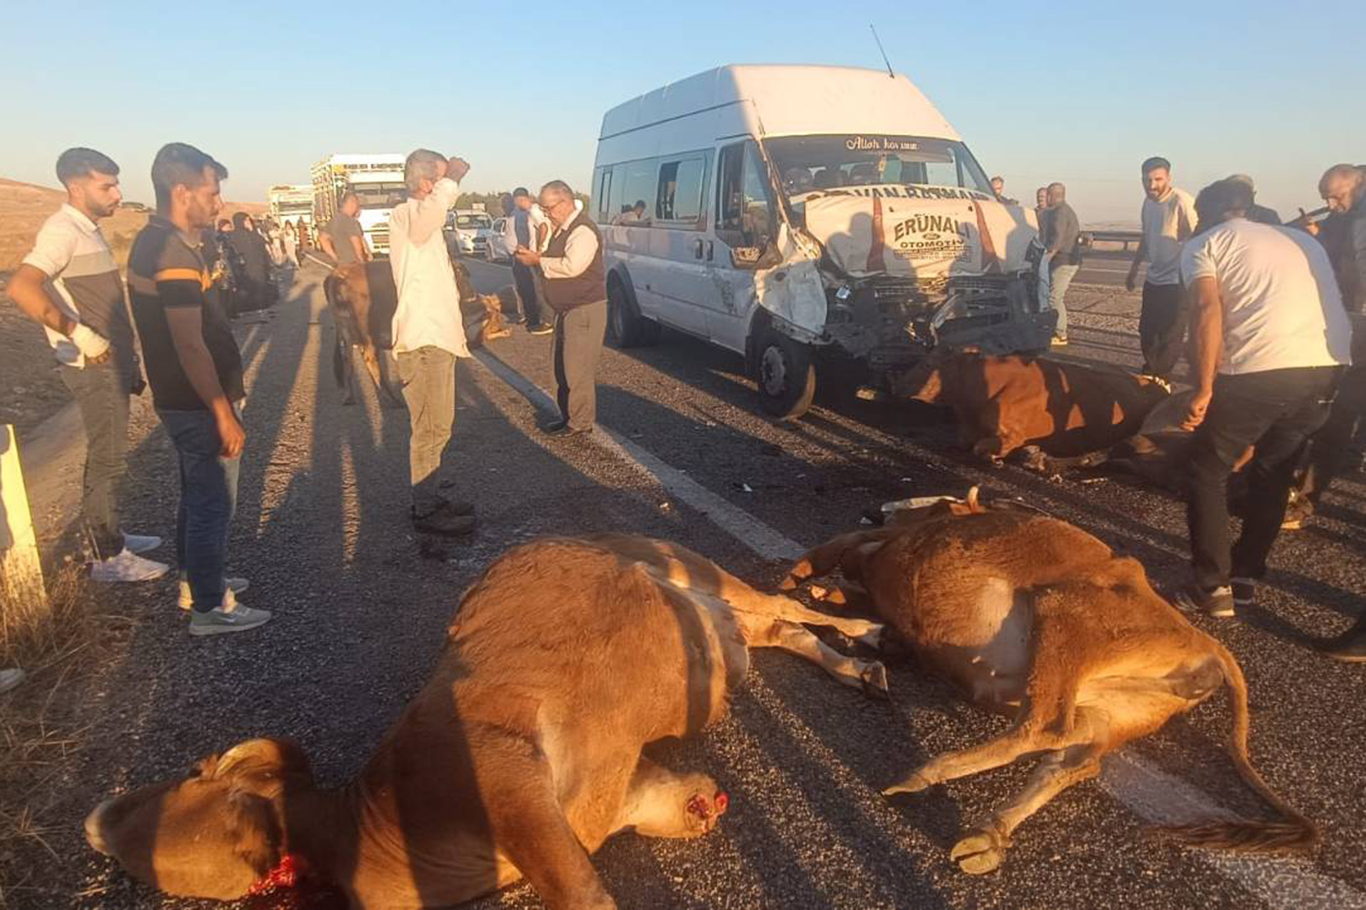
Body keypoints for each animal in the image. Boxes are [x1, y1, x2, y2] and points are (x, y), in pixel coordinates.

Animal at [90, 535, 890, 901]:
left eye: (180, 779)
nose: (96, 817)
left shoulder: (494, 767)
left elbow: (584, 894)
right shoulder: (601, 802)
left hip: (696, 569)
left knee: (785, 604)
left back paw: (869, 635)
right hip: (719, 619)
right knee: (779, 631)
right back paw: (857, 667)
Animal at [325, 258, 513, 407]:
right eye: (493, 316)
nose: (497, 326)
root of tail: (338, 273)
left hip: (347, 330)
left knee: (348, 360)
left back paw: (352, 396)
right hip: (366, 331)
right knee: (368, 358)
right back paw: (390, 399)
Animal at [786, 489, 1316, 874]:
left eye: (931, 497)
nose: (876, 509)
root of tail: (1206, 644)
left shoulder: (870, 547)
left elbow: (828, 552)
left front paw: (803, 581)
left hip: (1062, 618)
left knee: (1045, 725)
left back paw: (927, 773)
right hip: (1113, 711)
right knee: (1076, 760)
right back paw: (988, 834)